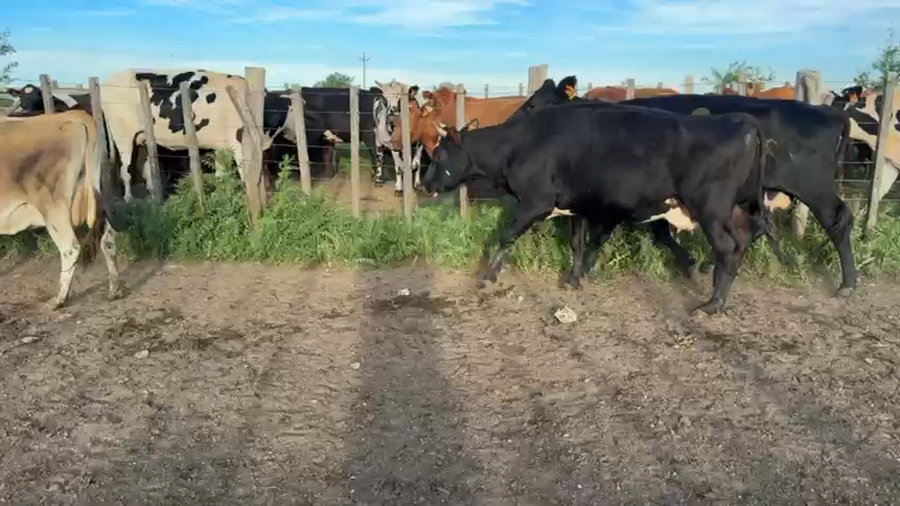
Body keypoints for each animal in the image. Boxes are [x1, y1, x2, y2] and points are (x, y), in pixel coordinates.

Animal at [0, 110, 122, 309]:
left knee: (70, 247)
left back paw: (58, 299)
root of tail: (74, 115)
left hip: (53, 206)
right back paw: (115, 289)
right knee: (107, 237)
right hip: (91, 194)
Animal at [421, 101, 772, 314]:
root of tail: (738, 121)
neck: (520, 144)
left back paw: (713, 303)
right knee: (742, 239)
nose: (425, 183)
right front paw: (574, 278)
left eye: (438, 155)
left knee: (727, 247)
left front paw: (487, 276)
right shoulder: (575, 207)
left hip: (710, 208)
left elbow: (506, 235)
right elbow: (577, 244)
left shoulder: (536, 202)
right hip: (732, 208)